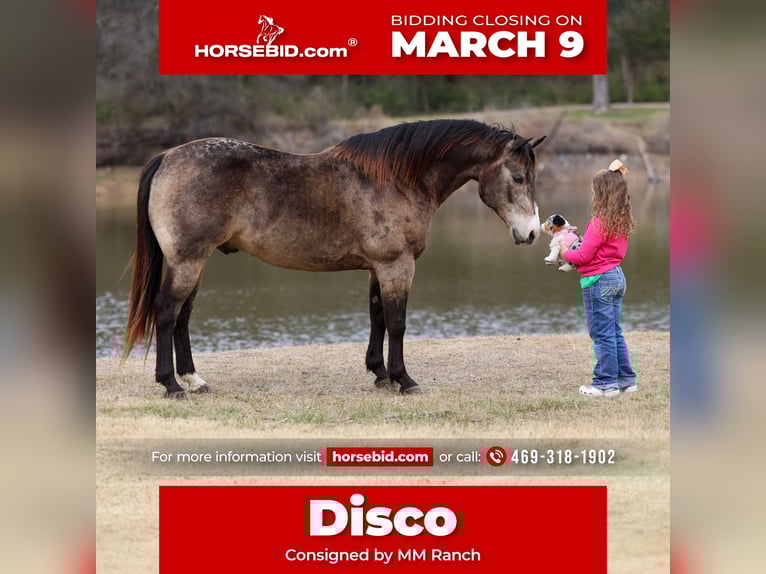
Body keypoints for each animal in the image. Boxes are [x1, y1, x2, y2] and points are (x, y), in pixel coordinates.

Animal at [123, 119, 546, 398]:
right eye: (519, 178)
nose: (531, 233)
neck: (396, 179)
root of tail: (166, 157)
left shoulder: (379, 267)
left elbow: (377, 316)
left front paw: (380, 374)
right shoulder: (397, 264)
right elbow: (397, 321)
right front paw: (404, 379)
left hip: (196, 261)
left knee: (183, 315)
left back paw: (194, 379)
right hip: (188, 260)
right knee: (167, 312)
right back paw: (171, 384)